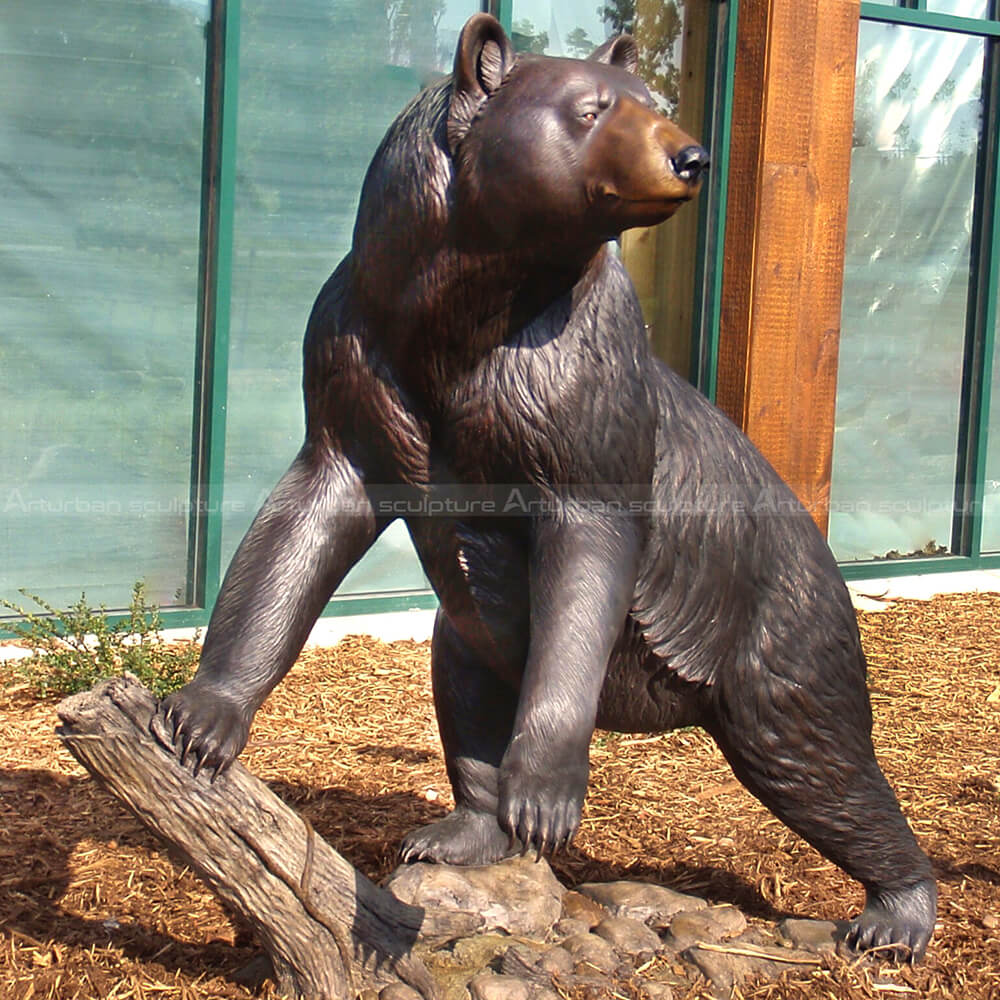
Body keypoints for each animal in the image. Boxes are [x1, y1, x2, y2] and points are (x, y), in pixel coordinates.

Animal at [160, 13, 937, 962]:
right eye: (594, 107)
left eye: (654, 101)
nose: (691, 155)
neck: (460, 312)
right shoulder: (358, 358)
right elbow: (301, 528)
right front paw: (202, 718)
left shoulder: (576, 380)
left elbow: (586, 553)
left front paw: (548, 794)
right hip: (479, 633)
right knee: (467, 684)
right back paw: (461, 830)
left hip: (774, 628)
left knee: (818, 759)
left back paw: (894, 915)